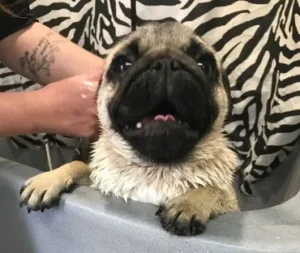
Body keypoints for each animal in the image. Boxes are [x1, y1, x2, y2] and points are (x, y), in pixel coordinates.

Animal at [18, 21, 239, 235]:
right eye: (124, 64)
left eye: (204, 65)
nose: (166, 63)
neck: (156, 168)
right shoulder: (100, 182)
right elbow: (80, 165)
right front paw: (49, 179)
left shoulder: (232, 204)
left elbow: (216, 189)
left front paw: (189, 203)